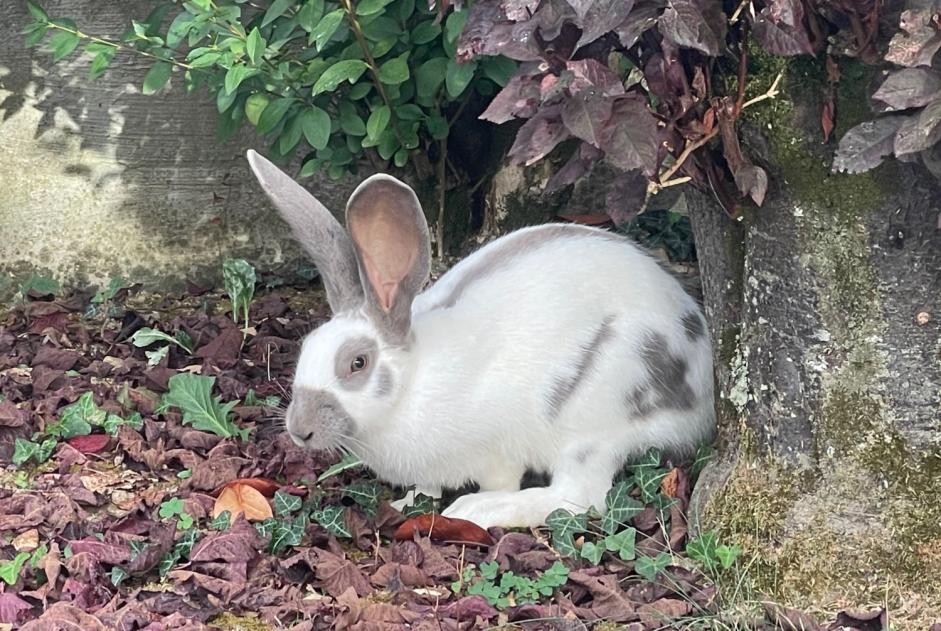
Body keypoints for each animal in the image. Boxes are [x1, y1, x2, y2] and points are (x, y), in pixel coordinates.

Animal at [246, 149, 716, 530]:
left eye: (357, 363)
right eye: (305, 349)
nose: (299, 431)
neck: (412, 384)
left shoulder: (496, 451)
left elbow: (507, 479)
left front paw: (475, 502)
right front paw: (408, 503)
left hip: (598, 419)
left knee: (579, 499)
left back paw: (479, 511)